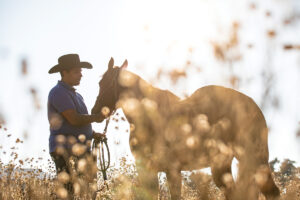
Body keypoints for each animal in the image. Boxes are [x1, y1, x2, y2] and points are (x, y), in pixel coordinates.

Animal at [91, 57, 278, 199]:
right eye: (99, 82)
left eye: (105, 83)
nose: (95, 112)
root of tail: (254, 106)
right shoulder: (147, 169)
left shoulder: (172, 169)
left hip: (255, 159)